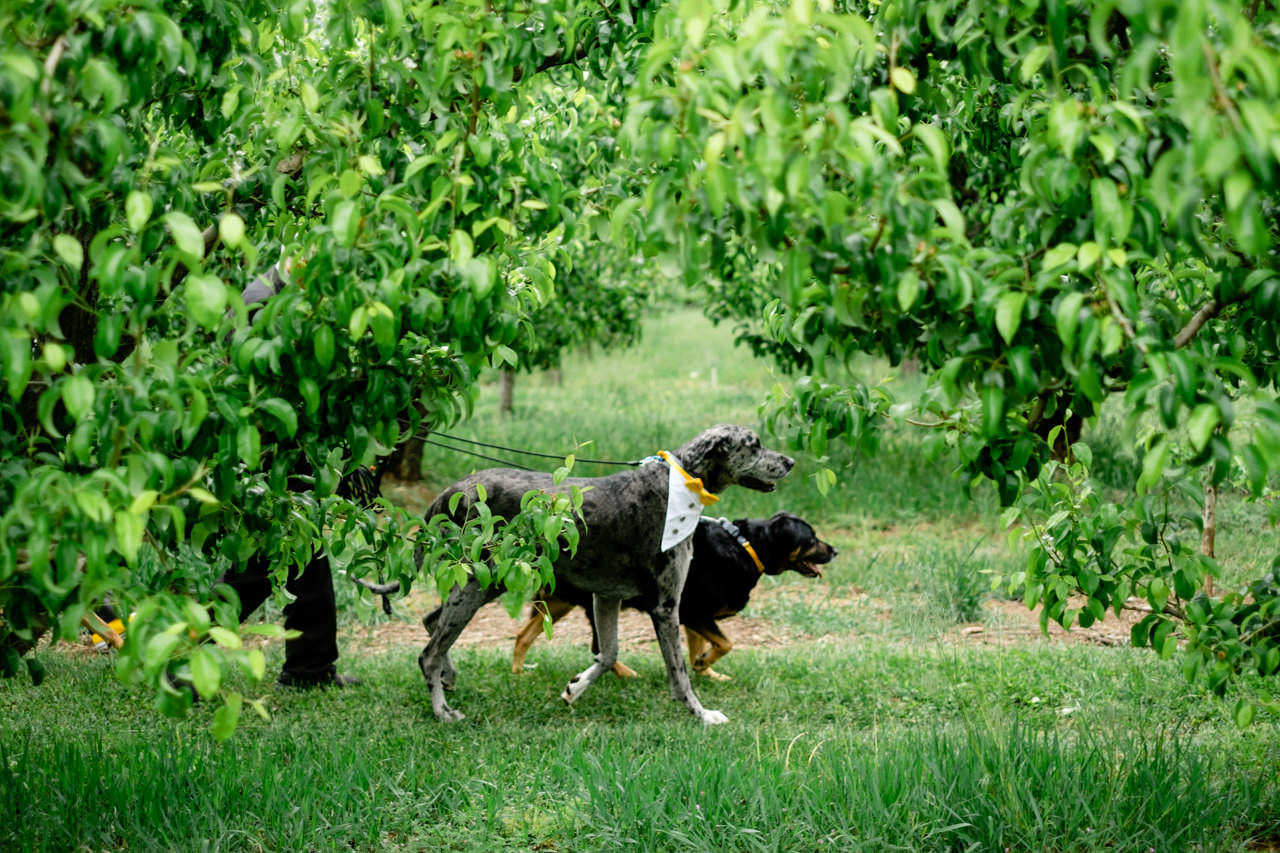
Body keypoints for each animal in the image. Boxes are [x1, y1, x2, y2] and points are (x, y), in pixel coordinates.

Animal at [512, 512, 839, 676]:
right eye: (811, 539)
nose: (835, 550)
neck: (745, 546)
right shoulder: (695, 613)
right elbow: (727, 643)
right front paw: (704, 664)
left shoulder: (693, 617)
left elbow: (700, 646)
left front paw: (703, 670)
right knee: (598, 648)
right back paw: (627, 675)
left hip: (559, 601)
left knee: (523, 635)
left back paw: (517, 673)